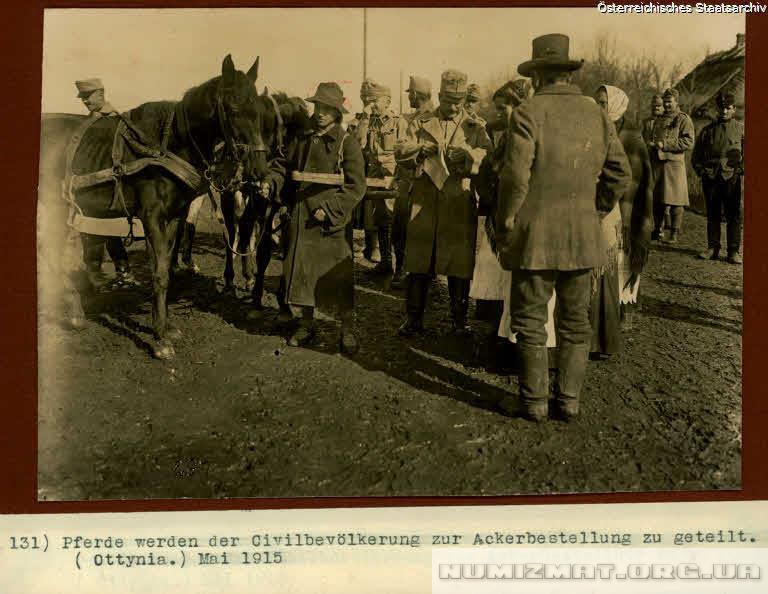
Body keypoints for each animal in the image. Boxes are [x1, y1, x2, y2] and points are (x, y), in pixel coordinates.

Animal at [39, 55, 284, 358]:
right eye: (234, 108)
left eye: (260, 113)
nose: (259, 169)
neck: (169, 146)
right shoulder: (152, 217)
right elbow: (159, 273)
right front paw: (159, 339)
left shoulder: (174, 216)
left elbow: (166, 267)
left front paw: (166, 327)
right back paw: (74, 311)